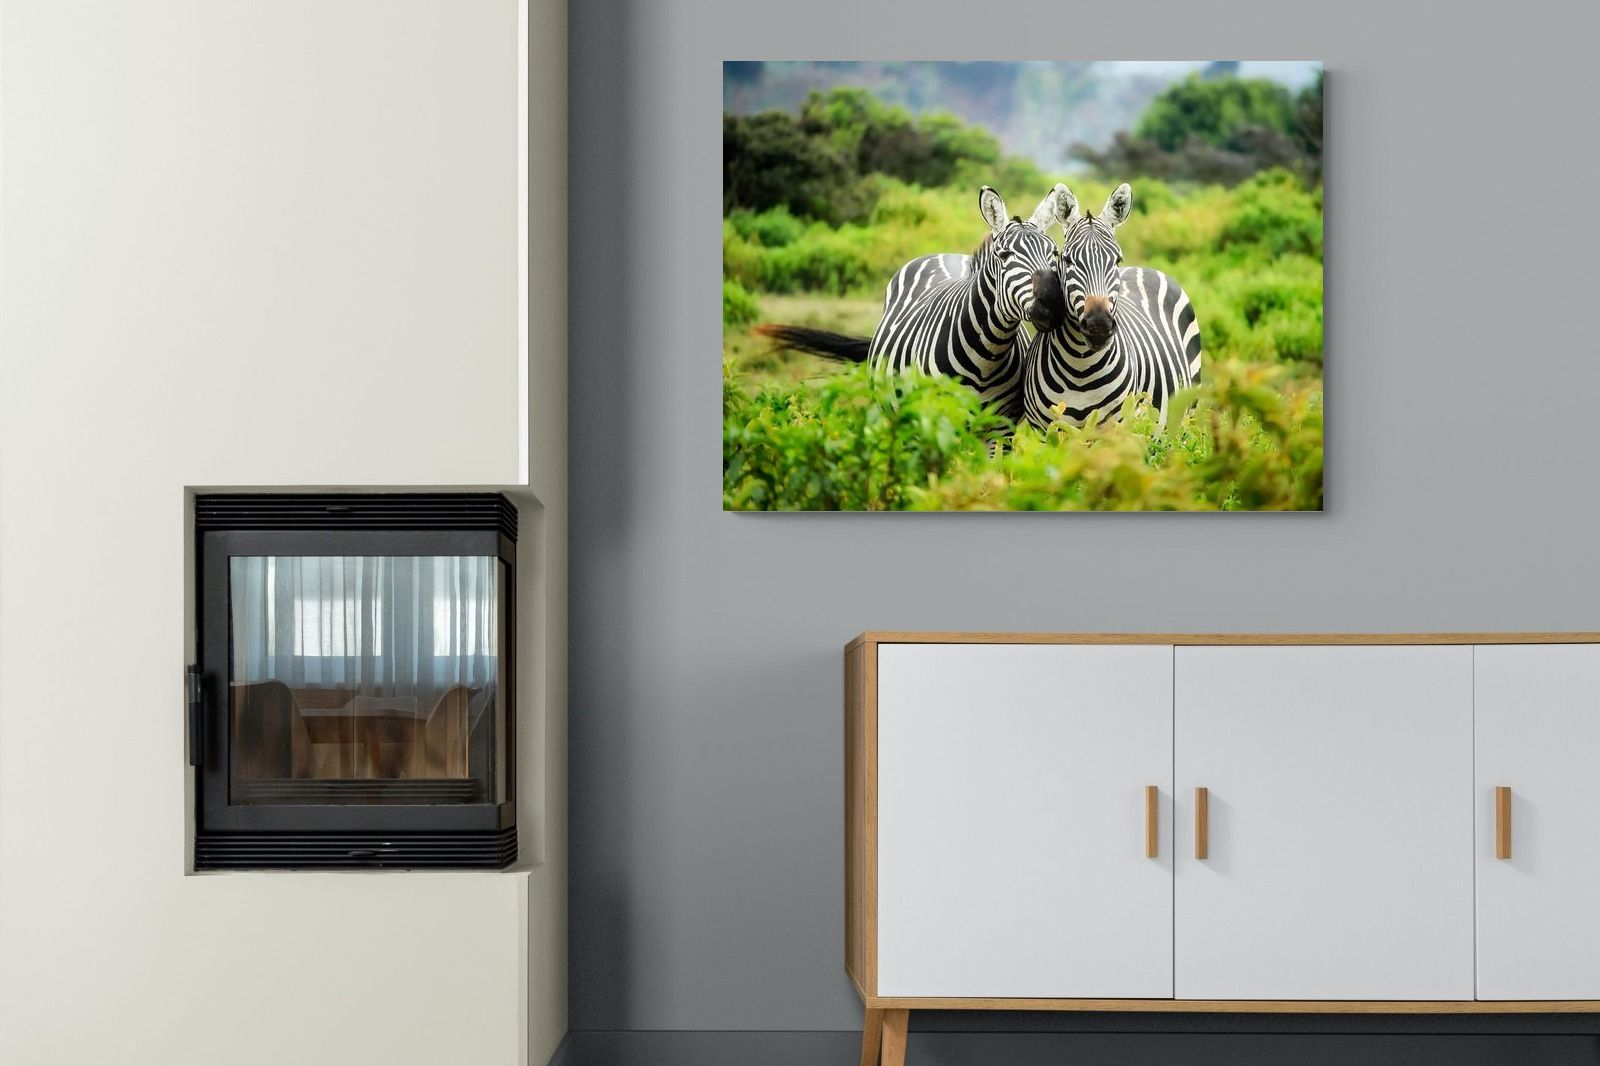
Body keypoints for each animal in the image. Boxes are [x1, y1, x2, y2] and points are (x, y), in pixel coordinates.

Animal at [756, 185, 1069, 420]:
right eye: (1004, 256)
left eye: (1054, 253)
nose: (1053, 304)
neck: (987, 355)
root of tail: (944, 254)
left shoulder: (999, 427)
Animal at [1022, 182, 1203, 431]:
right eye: (1067, 260)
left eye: (1117, 260)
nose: (1099, 326)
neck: (1080, 369)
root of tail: (1144, 268)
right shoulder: (1043, 431)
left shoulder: (1115, 429)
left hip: (1185, 417)